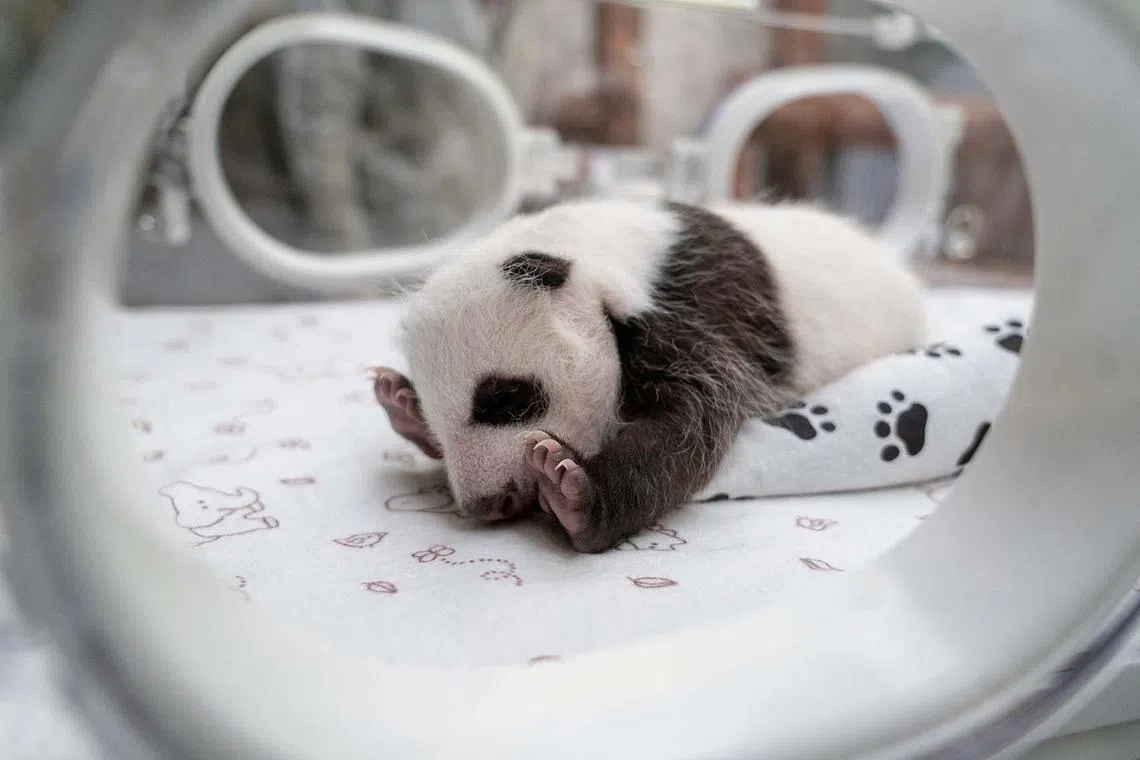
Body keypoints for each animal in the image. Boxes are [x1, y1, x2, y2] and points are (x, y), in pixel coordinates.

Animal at [372, 199, 925, 553]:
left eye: (503, 400)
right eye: (438, 418)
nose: (488, 503)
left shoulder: (691, 311)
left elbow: (695, 419)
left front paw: (576, 495)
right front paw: (403, 404)